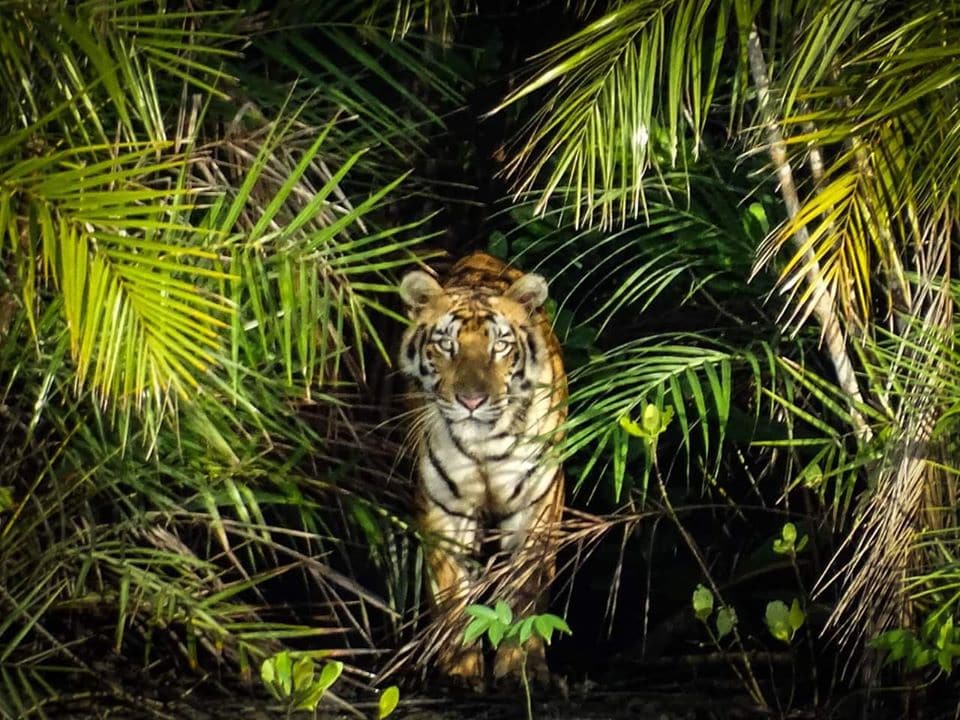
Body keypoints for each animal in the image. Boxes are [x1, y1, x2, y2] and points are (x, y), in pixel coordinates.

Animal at [397, 251, 566, 688]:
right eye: (446, 344)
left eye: (500, 345)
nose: (471, 400)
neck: (485, 445)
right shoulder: (445, 510)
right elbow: (452, 593)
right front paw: (460, 669)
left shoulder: (536, 504)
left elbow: (524, 590)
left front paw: (523, 667)